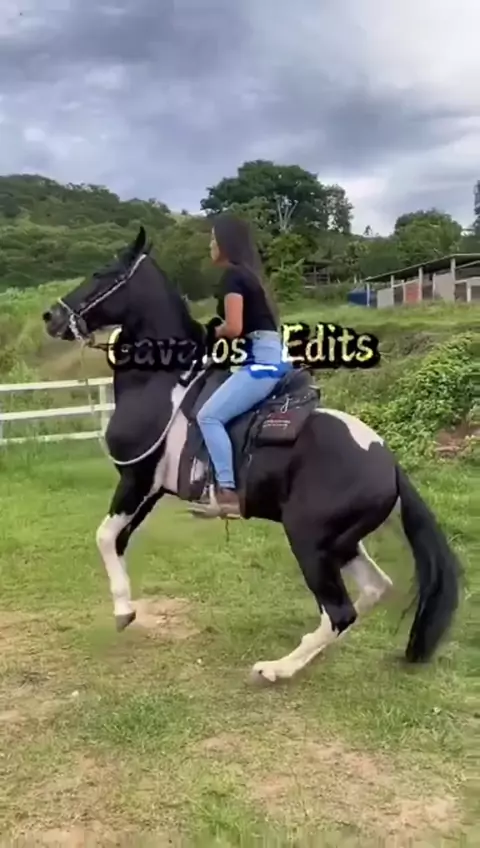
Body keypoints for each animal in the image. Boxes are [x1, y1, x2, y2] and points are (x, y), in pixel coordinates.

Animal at [42, 226, 460, 684]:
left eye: (103, 273)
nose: (51, 316)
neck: (163, 382)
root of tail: (391, 465)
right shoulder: (150, 489)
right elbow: (118, 540)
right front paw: (126, 606)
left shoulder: (136, 479)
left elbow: (104, 536)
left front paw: (122, 610)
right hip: (341, 543)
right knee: (373, 589)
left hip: (309, 540)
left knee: (340, 611)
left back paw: (276, 669)